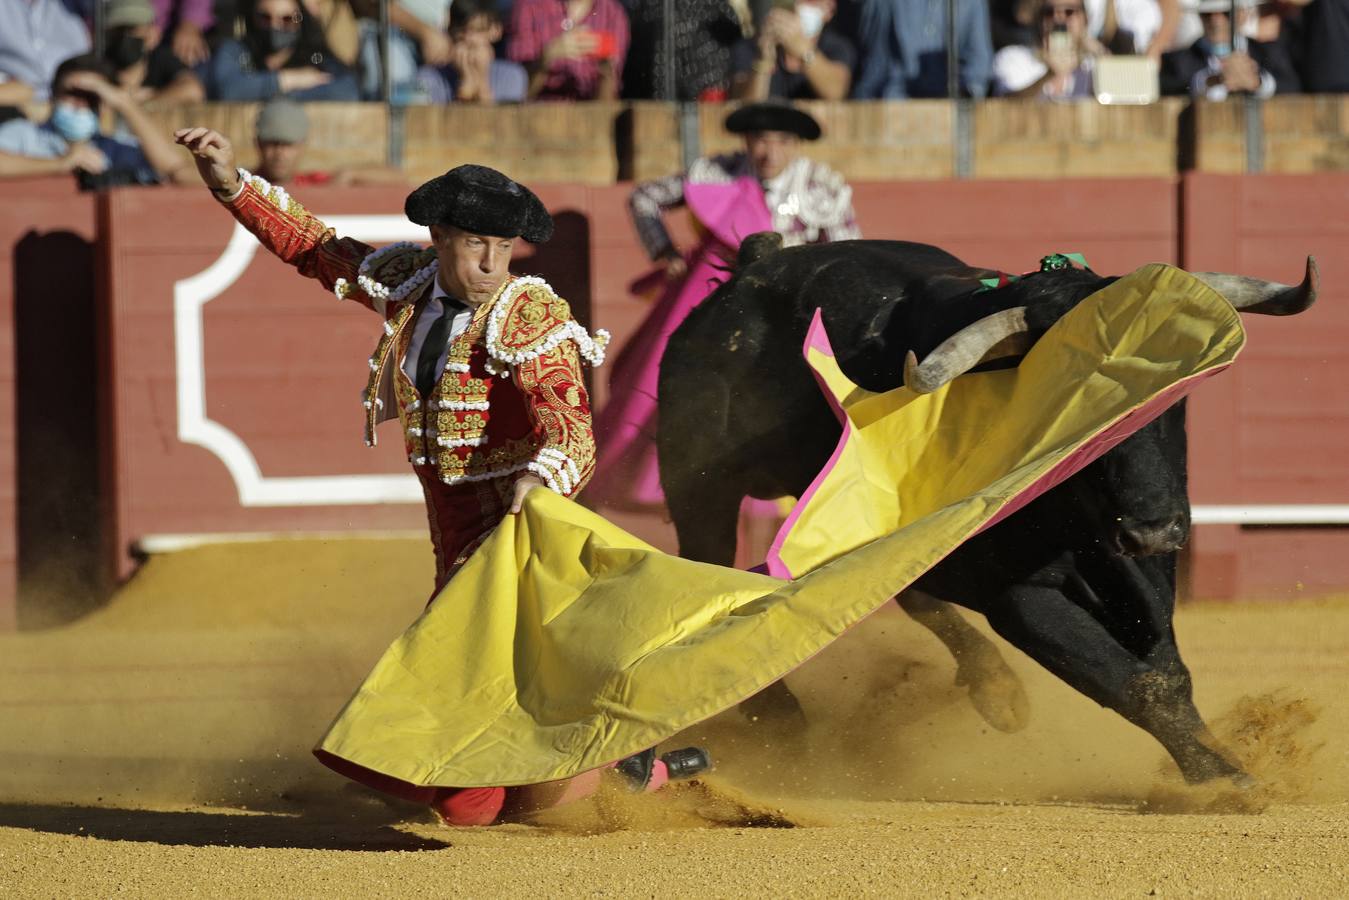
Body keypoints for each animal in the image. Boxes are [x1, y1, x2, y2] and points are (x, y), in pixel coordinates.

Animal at [652, 236, 1316, 782]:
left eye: (1176, 396)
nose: (1155, 526)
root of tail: (752, 268)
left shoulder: (1142, 567)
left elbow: (1167, 670)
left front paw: (1223, 760)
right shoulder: (1016, 595)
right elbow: (1131, 680)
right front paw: (1225, 782)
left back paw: (997, 692)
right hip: (701, 490)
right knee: (709, 566)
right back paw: (780, 717)